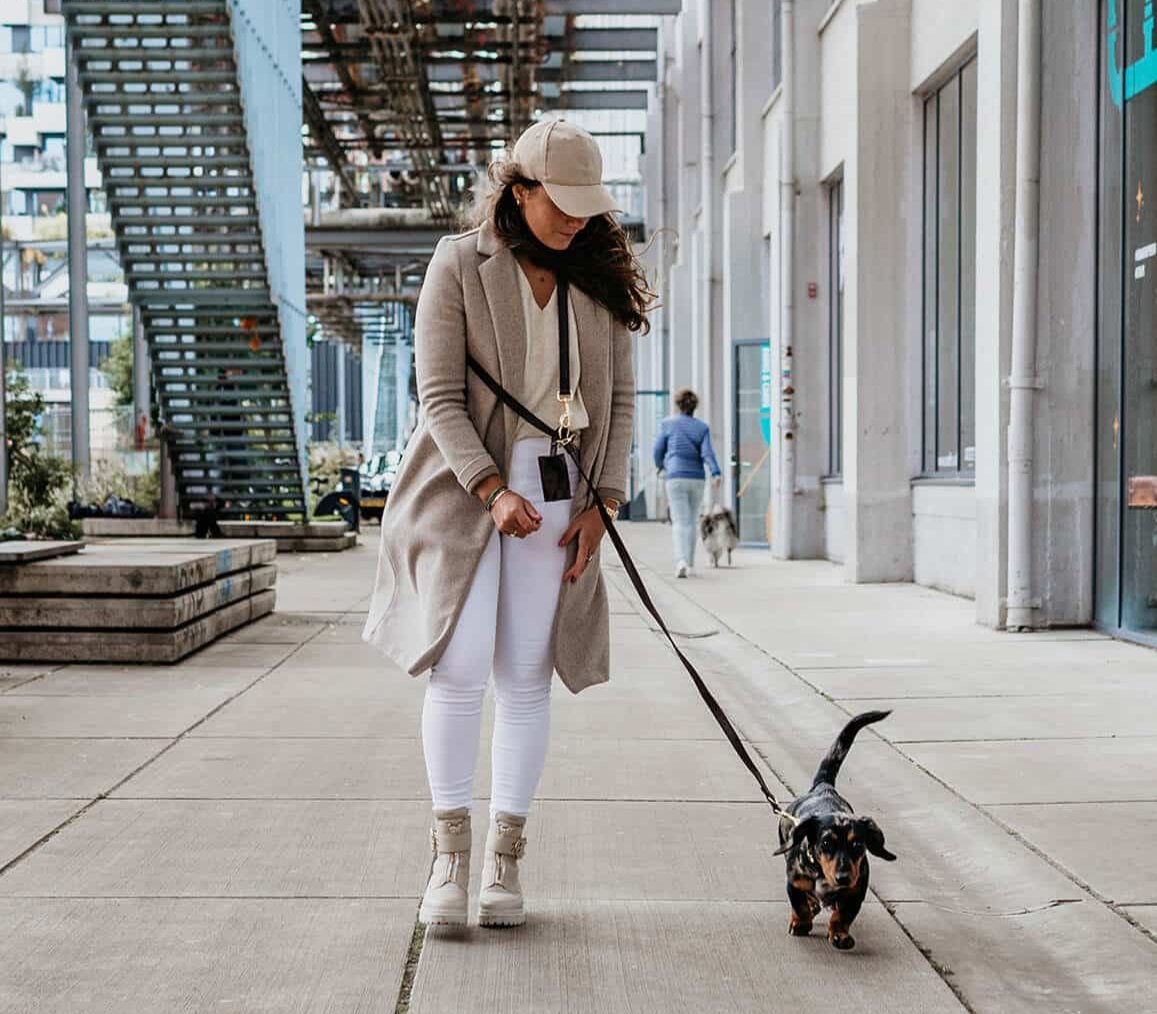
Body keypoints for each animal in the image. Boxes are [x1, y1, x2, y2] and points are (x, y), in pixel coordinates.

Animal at [772, 713, 897, 949]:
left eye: (857, 844)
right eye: (826, 843)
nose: (843, 877)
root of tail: (824, 787)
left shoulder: (856, 889)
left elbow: (844, 914)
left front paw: (839, 934)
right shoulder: (794, 882)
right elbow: (799, 905)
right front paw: (801, 923)